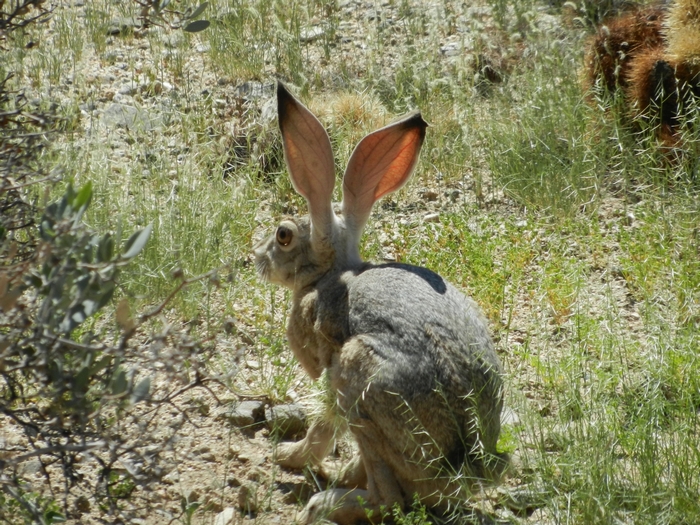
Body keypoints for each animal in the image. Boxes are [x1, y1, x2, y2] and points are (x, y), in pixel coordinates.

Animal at [254, 82, 507, 524]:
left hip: (360, 382)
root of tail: (463, 466)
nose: (257, 259)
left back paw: (325, 504)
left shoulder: (329, 374)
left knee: (388, 499)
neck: (331, 273)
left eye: (283, 235)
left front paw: (288, 456)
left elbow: (322, 426)